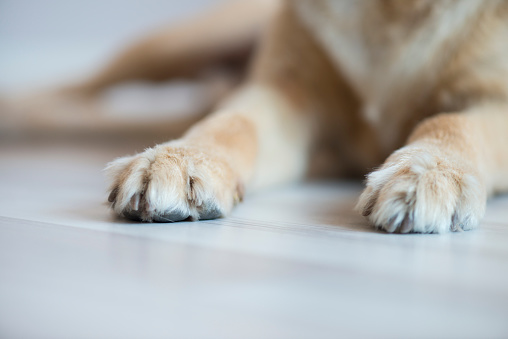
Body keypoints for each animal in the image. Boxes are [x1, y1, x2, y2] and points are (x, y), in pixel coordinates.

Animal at [22, 0, 508, 234]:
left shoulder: (494, 103)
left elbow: (455, 124)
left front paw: (431, 171)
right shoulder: (282, 89)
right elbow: (234, 121)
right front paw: (182, 158)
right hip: (183, 41)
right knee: (79, 88)